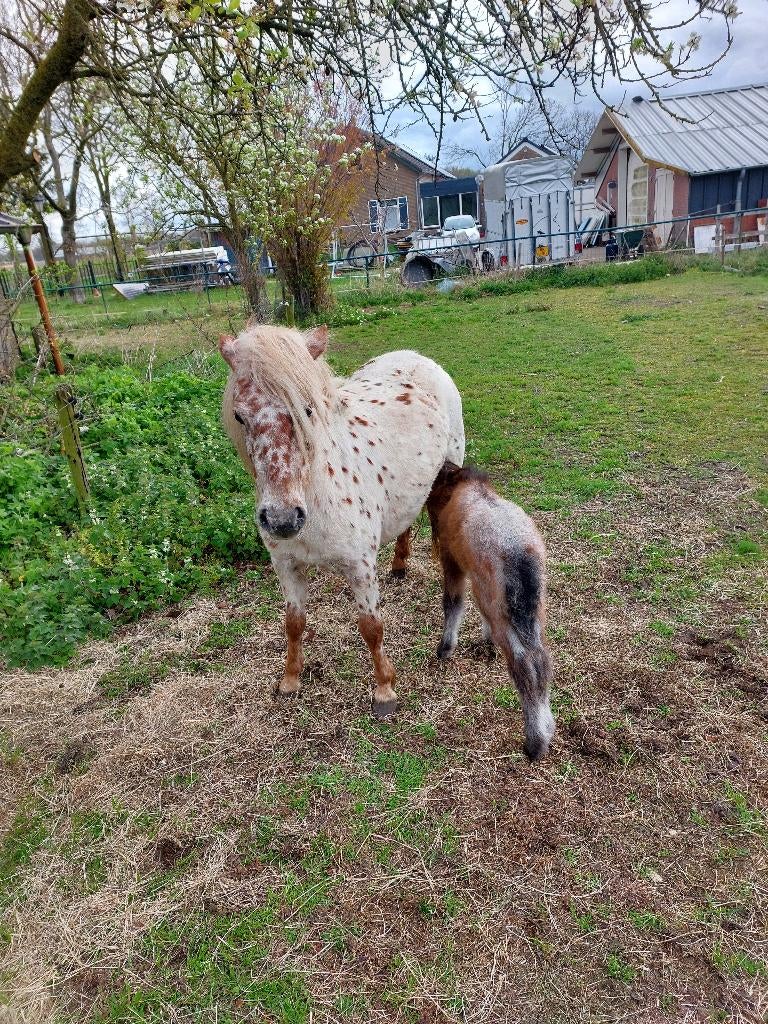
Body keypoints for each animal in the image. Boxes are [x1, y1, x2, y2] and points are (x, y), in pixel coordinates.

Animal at [219, 324, 465, 717]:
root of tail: (413, 356)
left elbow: (371, 627)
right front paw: (290, 681)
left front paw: (384, 691)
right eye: (240, 416)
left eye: (307, 410)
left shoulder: (359, 565)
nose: (282, 519)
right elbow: (293, 624)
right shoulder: (286, 565)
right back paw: (399, 566)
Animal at [426, 463, 555, 760]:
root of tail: (519, 554)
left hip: (504, 609)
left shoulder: (453, 561)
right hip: (531, 609)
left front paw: (445, 649)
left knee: (523, 663)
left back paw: (535, 743)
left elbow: (453, 603)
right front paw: (486, 642)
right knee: (541, 660)